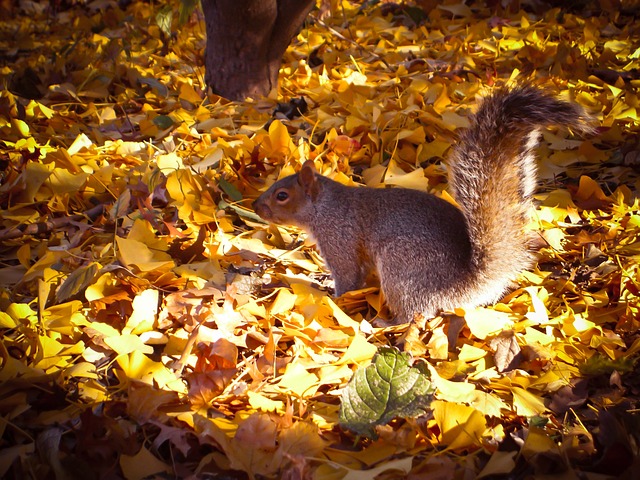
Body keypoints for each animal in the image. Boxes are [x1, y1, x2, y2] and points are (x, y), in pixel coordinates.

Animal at [252, 86, 592, 324]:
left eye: (282, 195)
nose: (256, 206)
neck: (326, 206)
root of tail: (465, 287)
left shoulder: (340, 239)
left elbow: (348, 277)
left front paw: (333, 297)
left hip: (400, 267)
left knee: (414, 314)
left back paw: (384, 324)